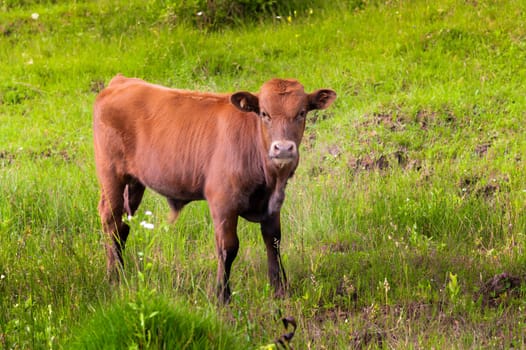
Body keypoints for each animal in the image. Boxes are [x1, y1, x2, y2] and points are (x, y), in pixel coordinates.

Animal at [93, 75, 336, 302]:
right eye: (264, 114)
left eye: (302, 113)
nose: (283, 148)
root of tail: (122, 81)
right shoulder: (222, 202)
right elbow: (228, 248)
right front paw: (222, 295)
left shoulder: (273, 205)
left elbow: (273, 242)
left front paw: (279, 290)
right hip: (111, 175)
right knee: (111, 221)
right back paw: (113, 276)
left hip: (134, 182)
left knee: (124, 224)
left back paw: (121, 270)